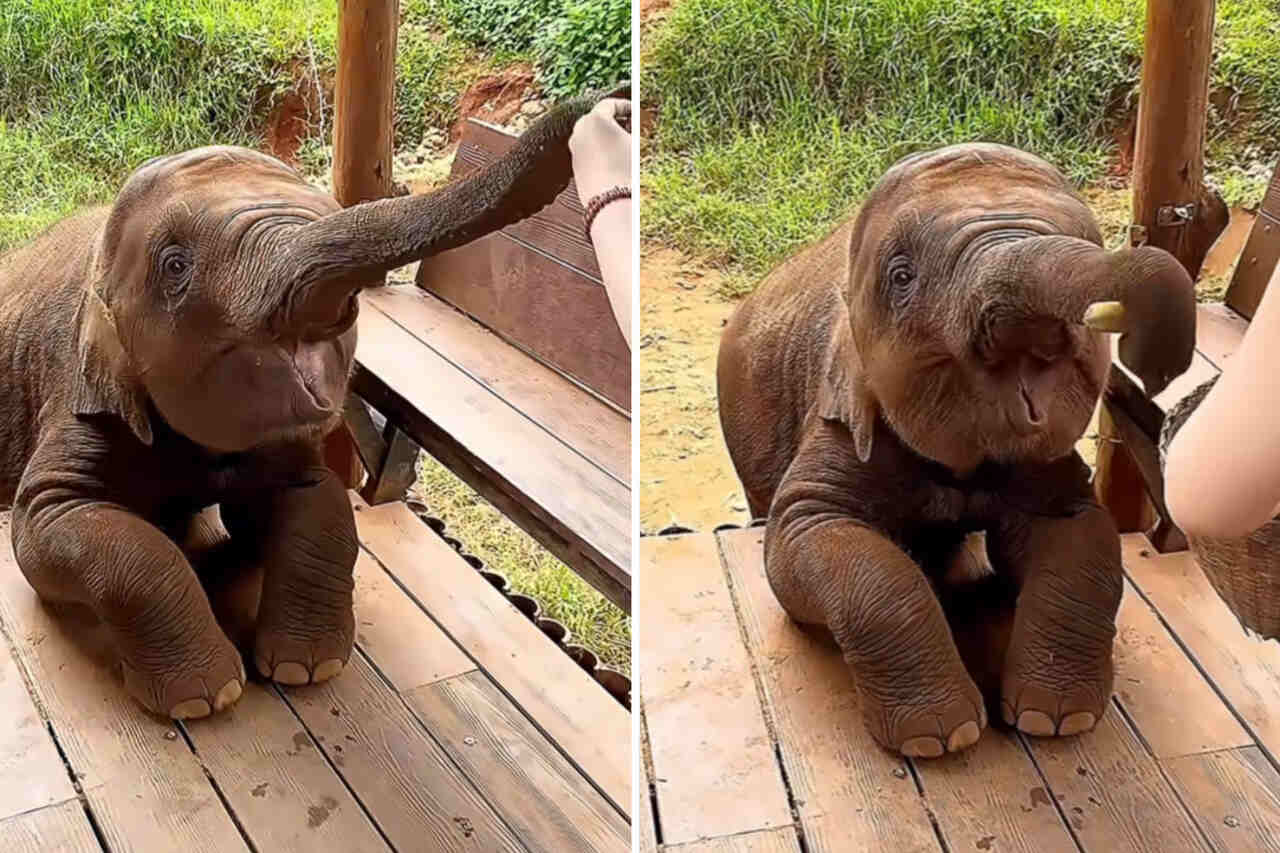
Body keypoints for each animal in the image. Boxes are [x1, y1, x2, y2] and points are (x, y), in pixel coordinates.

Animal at [0, 88, 616, 720]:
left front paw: (306, 669)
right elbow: (54, 527)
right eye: (175, 265)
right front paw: (206, 699)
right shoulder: (77, 395)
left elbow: (318, 500)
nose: (610, 105)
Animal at [717, 143, 1196, 758]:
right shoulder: (841, 412)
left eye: (1089, 238)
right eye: (902, 276)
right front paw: (940, 739)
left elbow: (1082, 537)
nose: (1156, 369)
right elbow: (811, 535)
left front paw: (1054, 720)